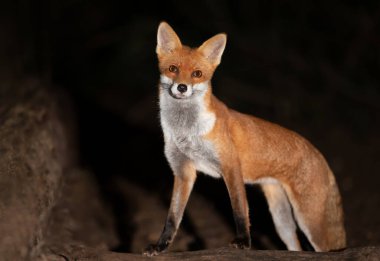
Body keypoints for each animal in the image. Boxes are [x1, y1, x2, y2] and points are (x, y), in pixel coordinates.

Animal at [144, 21, 346, 254]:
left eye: (197, 73)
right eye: (173, 69)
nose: (182, 87)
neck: (186, 131)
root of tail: (320, 155)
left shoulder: (231, 166)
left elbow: (239, 210)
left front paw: (243, 242)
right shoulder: (183, 171)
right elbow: (173, 218)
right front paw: (160, 246)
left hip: (309, 221)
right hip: (281, 221)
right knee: (296, 247)